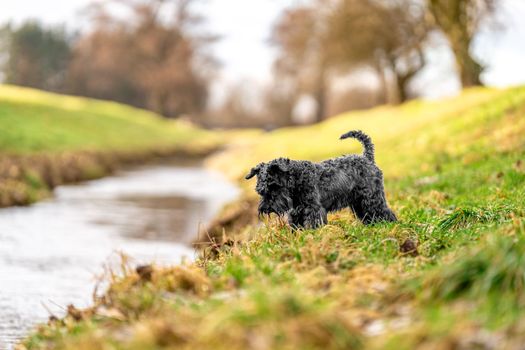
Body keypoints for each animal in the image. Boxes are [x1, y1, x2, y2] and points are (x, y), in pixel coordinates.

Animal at [246, 130, 398, 228]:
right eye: (259, 191)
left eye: (273, 186)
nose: (266, 208)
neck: (296, 179)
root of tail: (367, 158)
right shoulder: (296, 213)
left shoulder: (313, 210)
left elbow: (313, 224)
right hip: (359, 202)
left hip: (371, 198)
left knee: (384, 211)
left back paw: (389, 224)